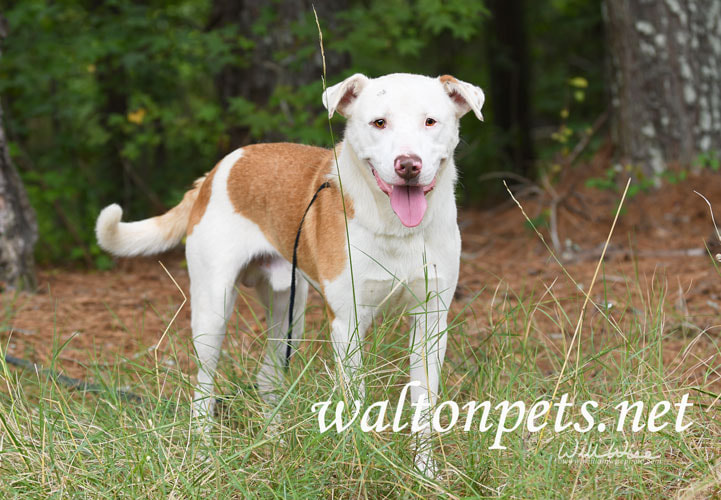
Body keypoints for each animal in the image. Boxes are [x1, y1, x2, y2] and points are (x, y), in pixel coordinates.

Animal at [93, 71, 480, 472]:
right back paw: (202, 452)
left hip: (289, 308)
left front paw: (425, 471)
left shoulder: (431, 321)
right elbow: (353, 399)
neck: (395, 228)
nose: (408, 165)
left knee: (268, 376)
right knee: (203, 387)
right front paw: (356, 461)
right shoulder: (348, 323)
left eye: (430, 121)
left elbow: (425, 406)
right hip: (213, 310)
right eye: (379, 122)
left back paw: (274, 442)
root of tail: (216, 170)